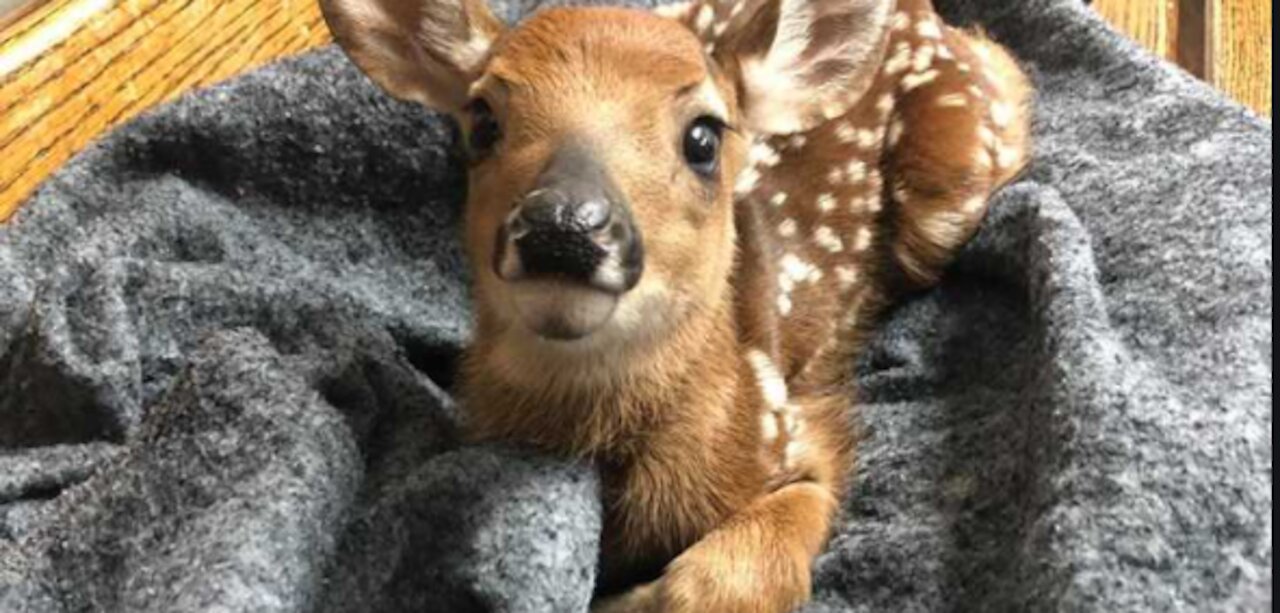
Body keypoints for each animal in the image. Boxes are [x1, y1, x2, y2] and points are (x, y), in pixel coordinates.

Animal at [320, 0, 1029, 609]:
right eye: (483, 121)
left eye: (703, 137)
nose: (564, 227)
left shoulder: (800, 435)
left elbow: (718, 586)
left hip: (948, 195)